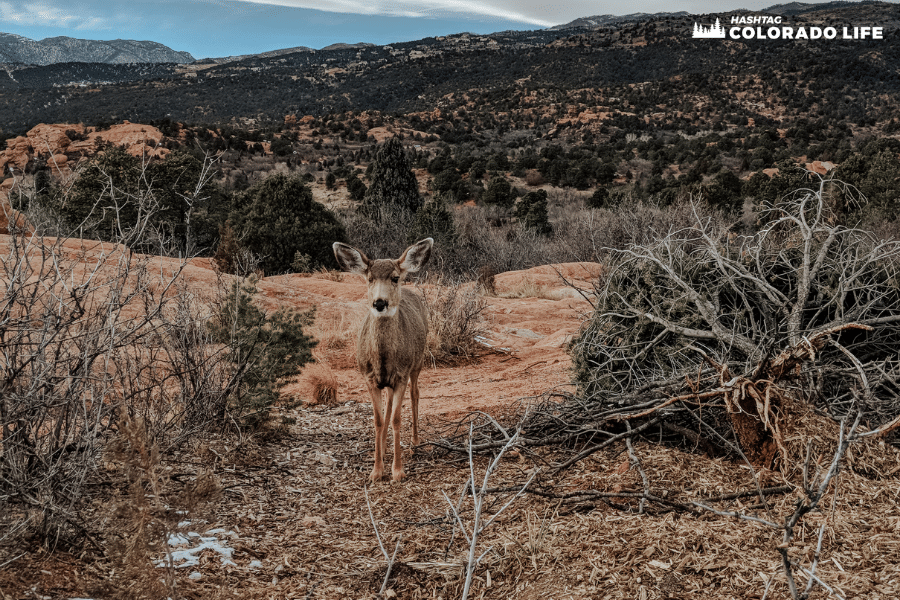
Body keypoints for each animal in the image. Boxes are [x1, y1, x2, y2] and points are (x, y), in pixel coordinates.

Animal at [332, 237, 434, 480]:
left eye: (395, 278)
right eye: (369, 278)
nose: (380, 303)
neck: (383, 359)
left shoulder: (401, 376)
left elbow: (397, 418)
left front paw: (398, 471)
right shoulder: (369, 377)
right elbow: (378, 420)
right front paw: (376, 470)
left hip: (418, 362)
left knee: (416, 393)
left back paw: (415, 441)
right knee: (388, 403)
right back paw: (385, 447)